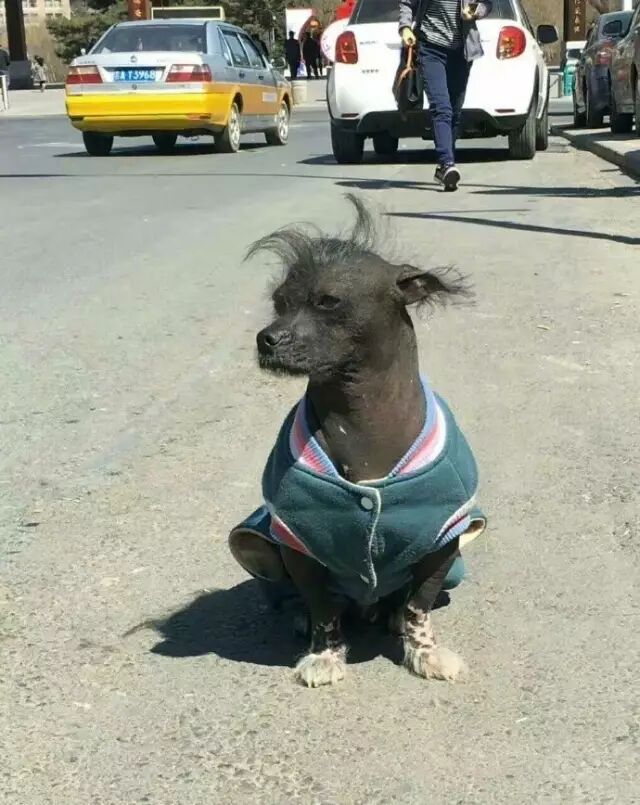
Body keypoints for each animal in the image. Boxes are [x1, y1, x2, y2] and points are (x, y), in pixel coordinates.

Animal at [229, 196, 486, 688]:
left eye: (328, 301)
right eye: (278, 302)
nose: (266, 338)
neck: (361, 420)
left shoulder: (446, 538)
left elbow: (419, 605)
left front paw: (424, 651)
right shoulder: (299, 540)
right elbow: (323, 607)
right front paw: (324, 655)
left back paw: (389, 615)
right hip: (253, 544)